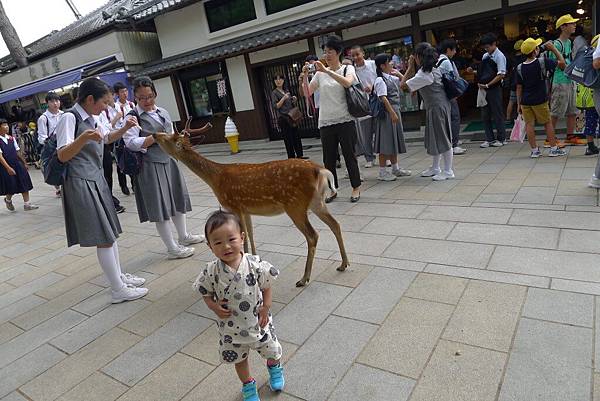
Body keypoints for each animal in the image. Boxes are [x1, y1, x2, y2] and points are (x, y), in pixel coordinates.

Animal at [155, 120, 350, 286]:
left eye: (170, 138)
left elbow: (244, 238)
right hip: (317, 202)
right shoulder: (246, 209)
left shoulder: (234, 205)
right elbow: (251, 234)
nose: (155, 135)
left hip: (295, 204)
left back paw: (304, 278)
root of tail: (321, 171)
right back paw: (343, 263)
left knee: (313, 235)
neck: (216, 179)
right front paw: (254, 261)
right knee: (335, 224)